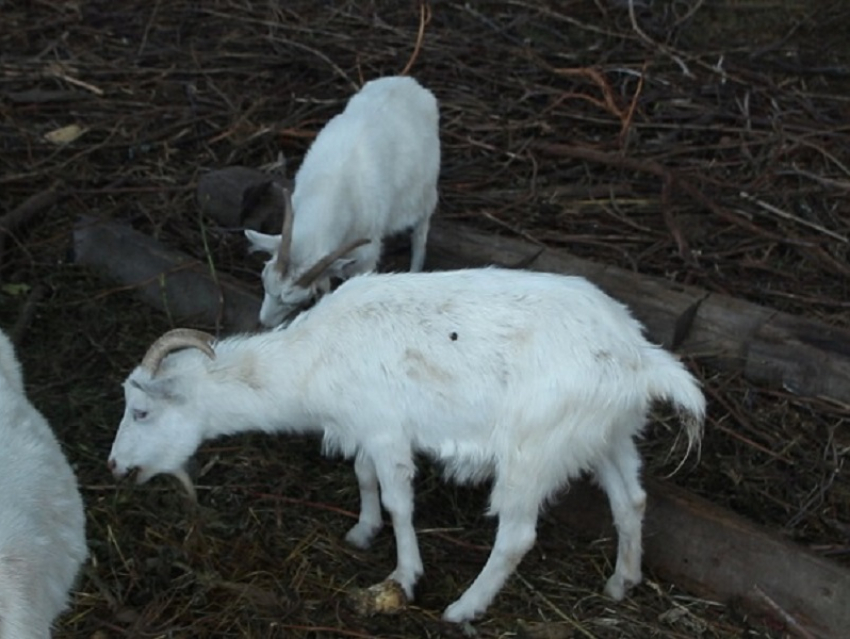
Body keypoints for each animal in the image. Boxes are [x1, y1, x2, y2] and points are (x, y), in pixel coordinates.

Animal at [106, 268, 704, 624]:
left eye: (142, 411)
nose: (115, 466)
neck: (313, 357)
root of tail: (639, 358)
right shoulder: (364, 427)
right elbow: (364, 477)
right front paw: (361, 531)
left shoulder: (387, 429)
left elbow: (399, 501)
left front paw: (404, 575)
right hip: (609, 434)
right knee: (631, 501)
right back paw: (621, 582)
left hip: (532, 449)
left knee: (516, 536)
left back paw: (463, 608)